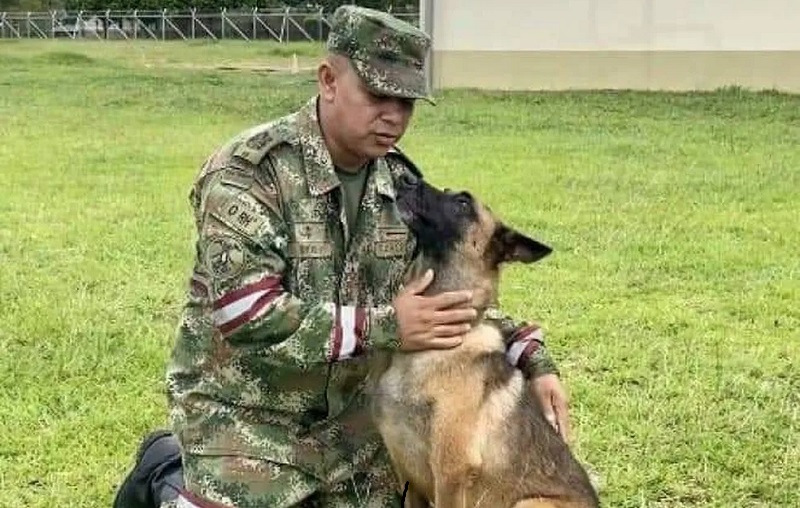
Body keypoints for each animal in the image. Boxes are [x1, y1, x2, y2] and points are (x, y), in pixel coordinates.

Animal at [367, 173, 600, 508]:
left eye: (463, 202)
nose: (404, 177)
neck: (427, 349)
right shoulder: (407, 476)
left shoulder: (450, 473)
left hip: (528, 503)